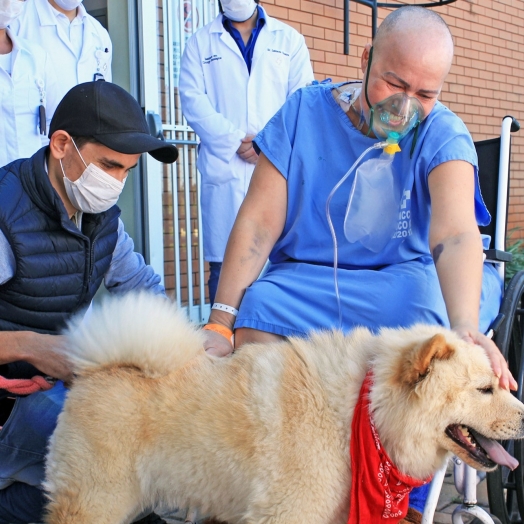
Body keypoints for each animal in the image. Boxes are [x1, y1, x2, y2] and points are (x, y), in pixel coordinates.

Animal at [44, 292, 524, 520]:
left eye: (498, 384)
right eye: (485, 390)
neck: (365, 411)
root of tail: (98, 367)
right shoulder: (287, 512)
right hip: (97, 502)